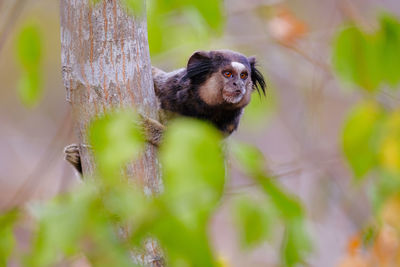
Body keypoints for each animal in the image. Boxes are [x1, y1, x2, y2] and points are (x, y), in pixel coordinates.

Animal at [65, 50, 266, 175]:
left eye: (243, 76)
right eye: (227, 74)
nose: (238, 84)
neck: (201, 108)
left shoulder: (227, 126)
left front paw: (147, 127)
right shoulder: (171, 85)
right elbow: (156, 77)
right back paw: (76, 159)